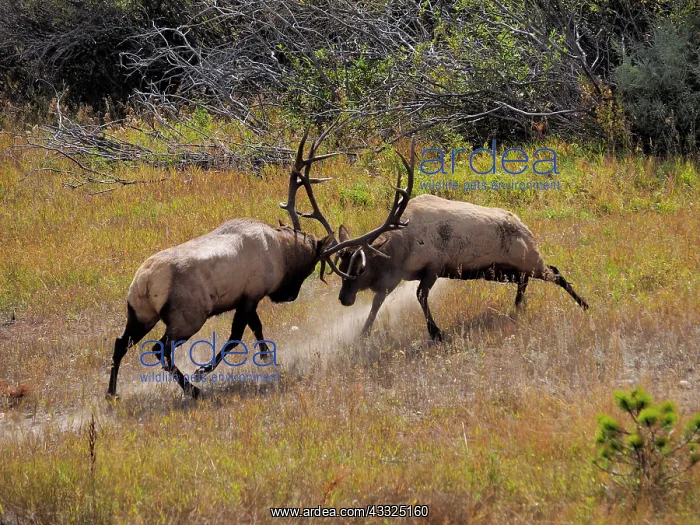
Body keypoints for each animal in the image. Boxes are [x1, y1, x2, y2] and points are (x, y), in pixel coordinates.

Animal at [107, 128, 341, 399]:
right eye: (310, 267)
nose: (290, 296)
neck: (281, 253)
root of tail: (145, 281)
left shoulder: (247, 297)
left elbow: (256, 329)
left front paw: (265, 356)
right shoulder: (251, 295)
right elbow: (237, 336)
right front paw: (202, 370)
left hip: (140, 313)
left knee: (121, 342)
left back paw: (112, 393)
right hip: (187, 318)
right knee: (159, 349)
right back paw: (193, 389)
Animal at [321, 138, 589, 342]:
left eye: (361, 268)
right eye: (341, 266)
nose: (344, 299)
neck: (400, 251)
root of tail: (527, 228)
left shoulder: (433, 266)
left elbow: (420, 296)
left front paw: (436, 333)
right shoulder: (397, 277)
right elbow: (379, 302)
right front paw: (362, 335)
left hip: (530, 260)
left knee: (556, 272)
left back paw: (584, 304)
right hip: (501, 271)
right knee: (526, 279)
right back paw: (517, 307)